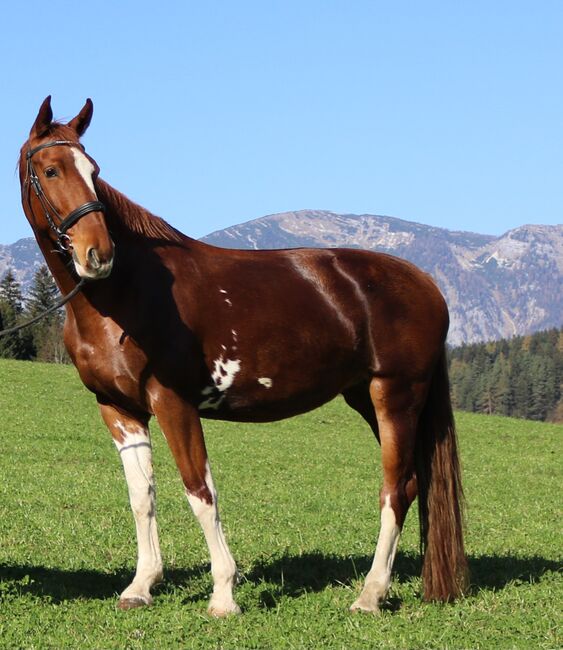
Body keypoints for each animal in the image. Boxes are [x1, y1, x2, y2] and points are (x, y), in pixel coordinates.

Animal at [17, 95, 468, 612]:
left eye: (93, 170)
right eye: (51, 170)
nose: (99, 253)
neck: (126, 293)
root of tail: (427, 284)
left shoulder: (173, 402)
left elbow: (200, 492)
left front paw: (223, 595)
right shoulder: (118, 408)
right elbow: (142, 496)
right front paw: (141, 586)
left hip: (395, 396)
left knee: (395, 490)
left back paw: (370, 595)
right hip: (367, 397)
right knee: (412, 483)